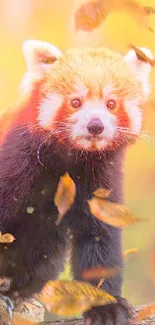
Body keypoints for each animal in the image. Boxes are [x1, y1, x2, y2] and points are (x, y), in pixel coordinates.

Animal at [0, 40, 153, 324]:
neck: (70, 156)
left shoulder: (100, 178)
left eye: (111, 103)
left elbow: (99, 236)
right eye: (75, 102)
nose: (95, 125)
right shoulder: (14, 159)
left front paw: (105, 305)